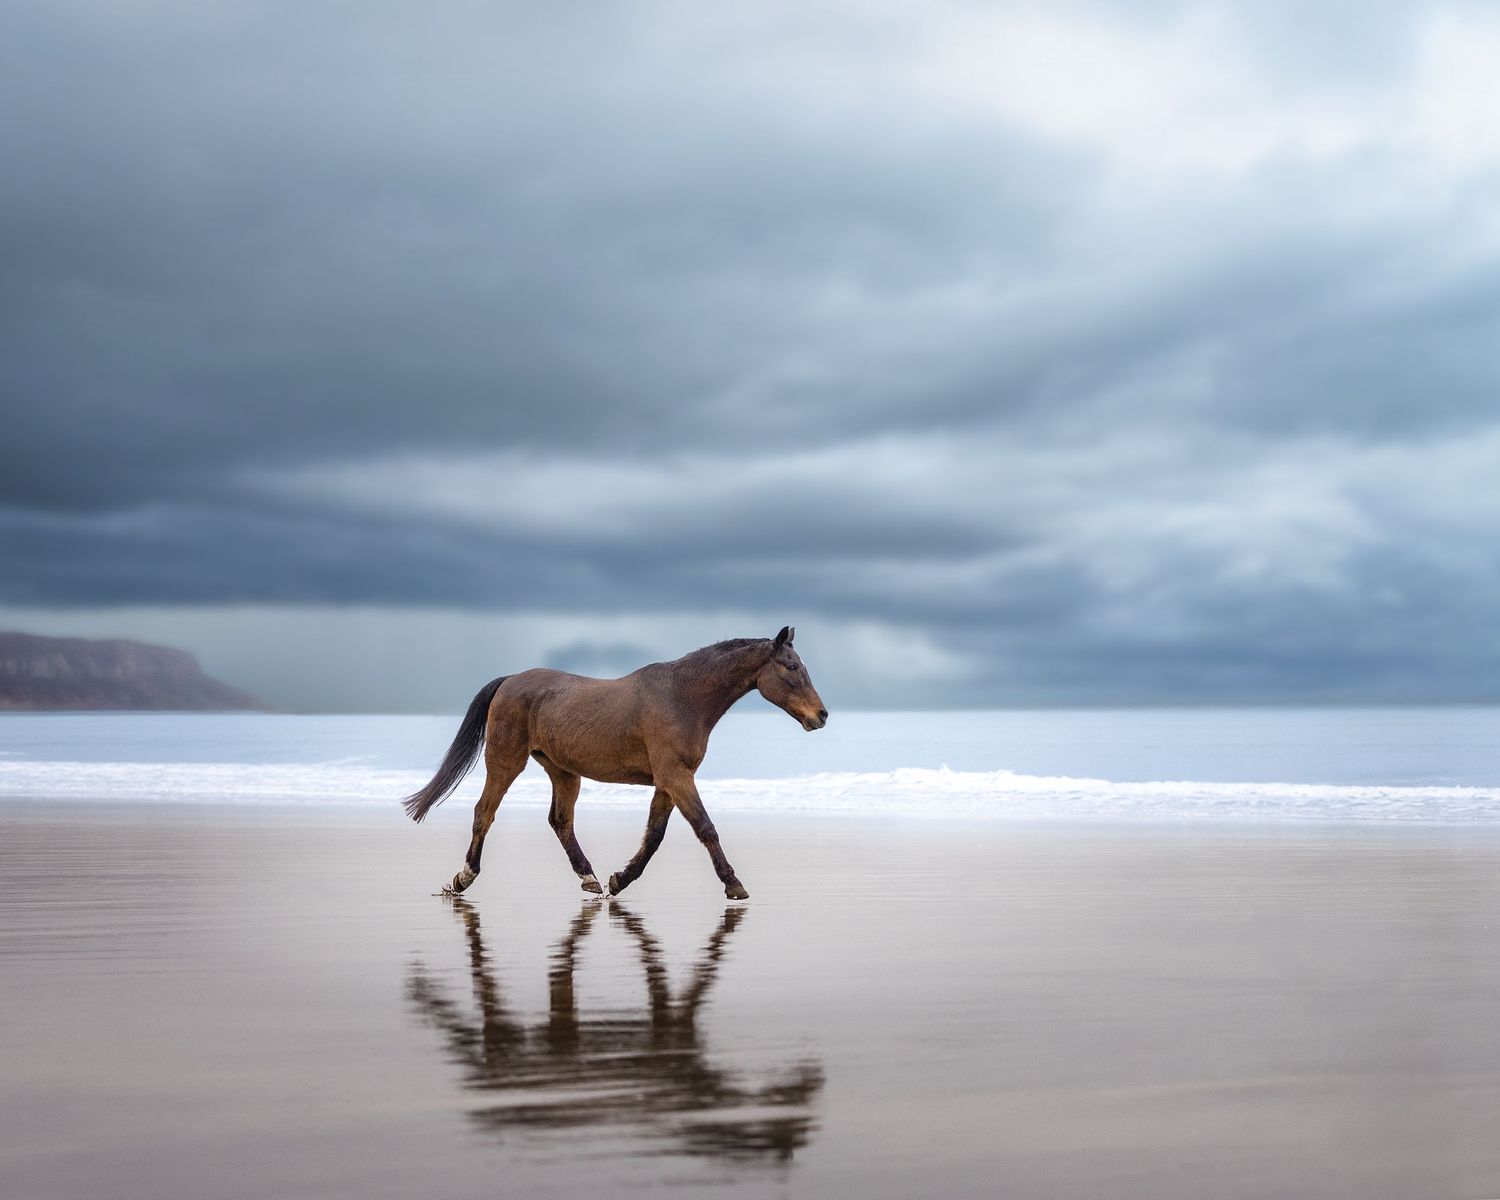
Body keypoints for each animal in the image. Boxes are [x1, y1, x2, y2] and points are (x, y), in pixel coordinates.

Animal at [404, 626, 827, 899]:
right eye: (792, 667)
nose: (821, 715)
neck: (683, 697)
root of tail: (510, 681)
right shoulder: (676, 777)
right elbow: (705, 828)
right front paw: (733, 884)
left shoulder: (669, 781)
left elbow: (654, 836)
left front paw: (620, 879)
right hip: (506, 762)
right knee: (484, 812)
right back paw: (463, 878)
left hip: (563, 771)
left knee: (560, 821)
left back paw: (589, 878)